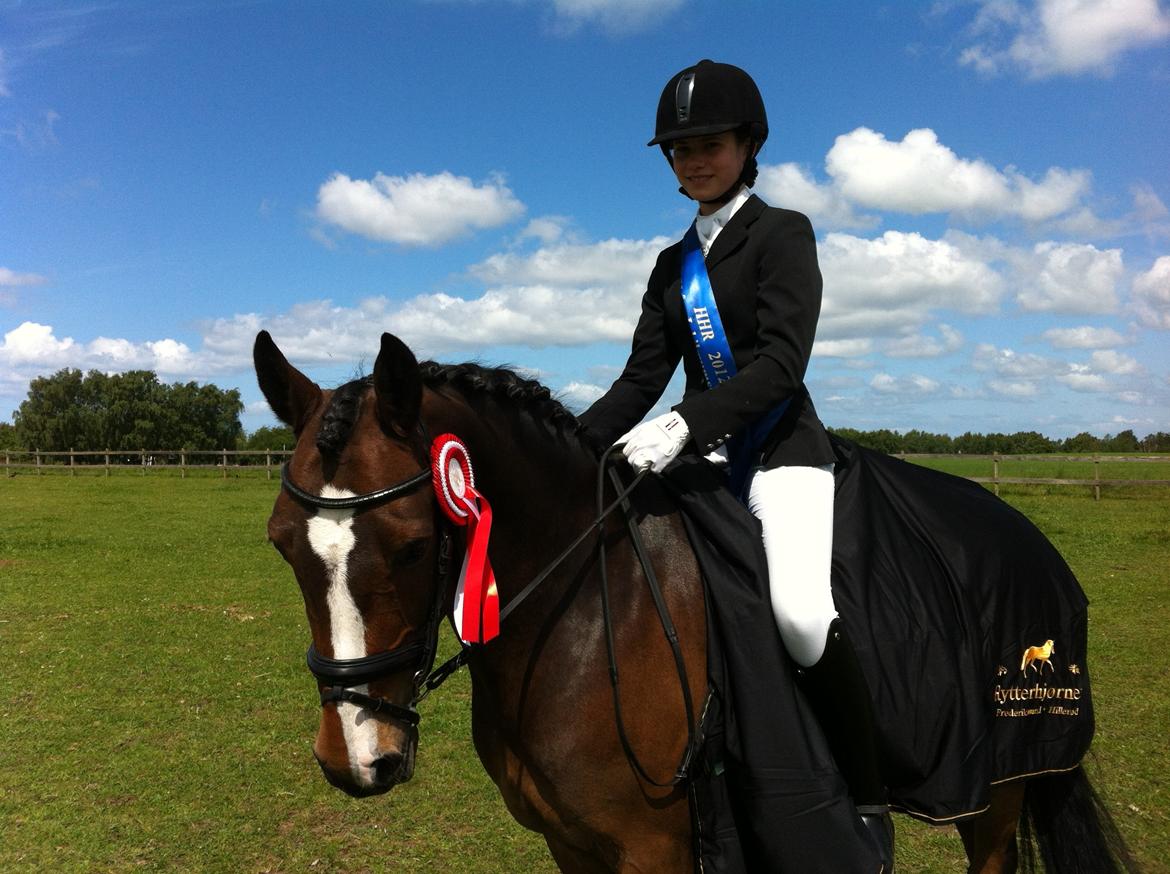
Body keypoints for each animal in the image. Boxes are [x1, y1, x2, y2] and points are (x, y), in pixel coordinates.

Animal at [254, 330, 1136, 874]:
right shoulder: (572, 845)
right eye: (281, 542)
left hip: (1000, 782)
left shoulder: (656, 847)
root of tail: (1024, 533)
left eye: (409, 544)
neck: (583, 610)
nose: (355, 758)